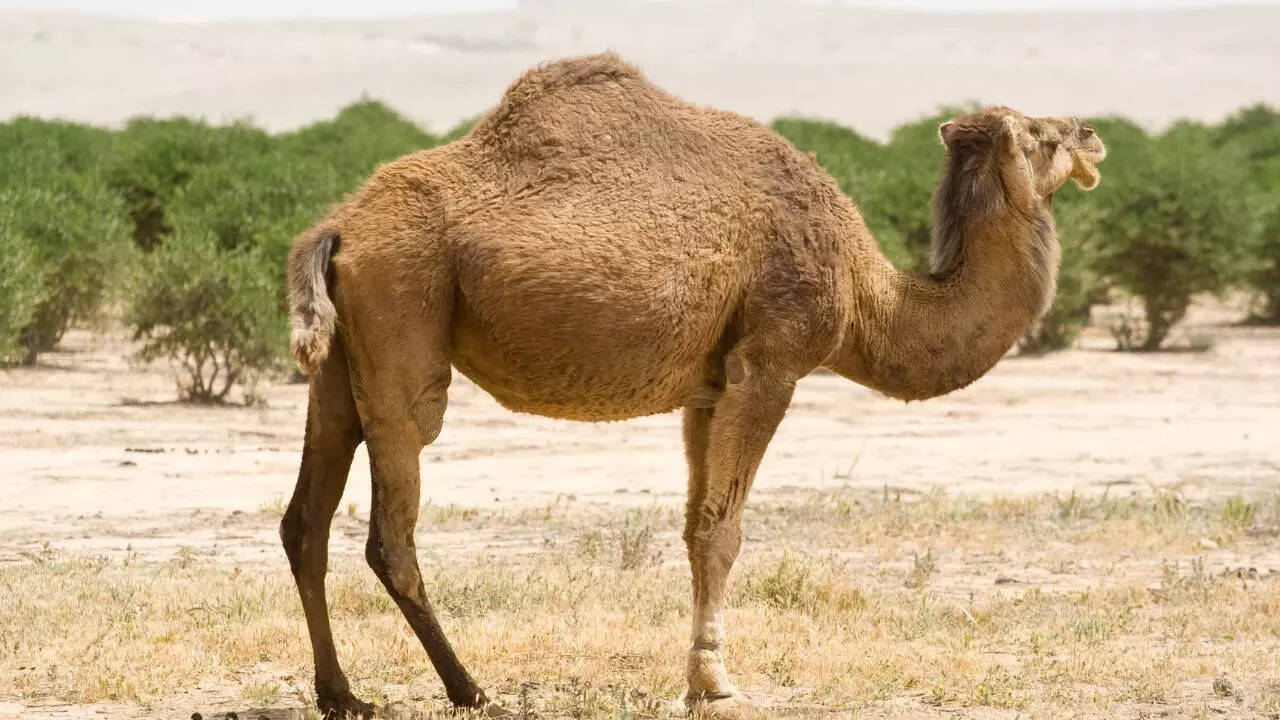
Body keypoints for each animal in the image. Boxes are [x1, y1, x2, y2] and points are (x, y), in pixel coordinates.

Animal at [280, 52, 1105, 719]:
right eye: (1043, 136)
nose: (1094, 134)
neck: (867, 291)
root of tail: (337, 226)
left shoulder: (708, 389)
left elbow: (693, 528)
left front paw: (700, 675)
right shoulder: (769, 363)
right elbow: (723, 531)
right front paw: (714, 684)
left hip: (341, 365)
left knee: (305, 521)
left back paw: (343, 695)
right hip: (405, 310)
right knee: (392, 526)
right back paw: (469, 688)